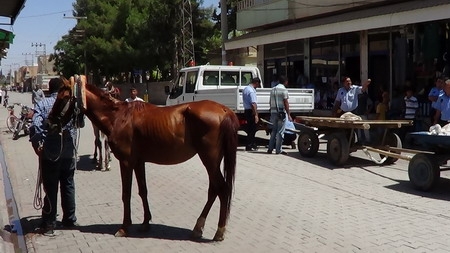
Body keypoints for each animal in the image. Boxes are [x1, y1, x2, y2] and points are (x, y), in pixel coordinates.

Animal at [48, 75, 241, 241]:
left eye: (63, 98)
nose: (49, 121)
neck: (118, 117)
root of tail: (224, 110)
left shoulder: (126, 162)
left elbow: (126, 194)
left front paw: (124, 227)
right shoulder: (139, 162)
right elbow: (143, 191)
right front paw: (146, 222)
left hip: (209, 159)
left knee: (222, 189)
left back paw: (219, 231)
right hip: (213, 161)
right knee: (214, 190)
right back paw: (198, 228)